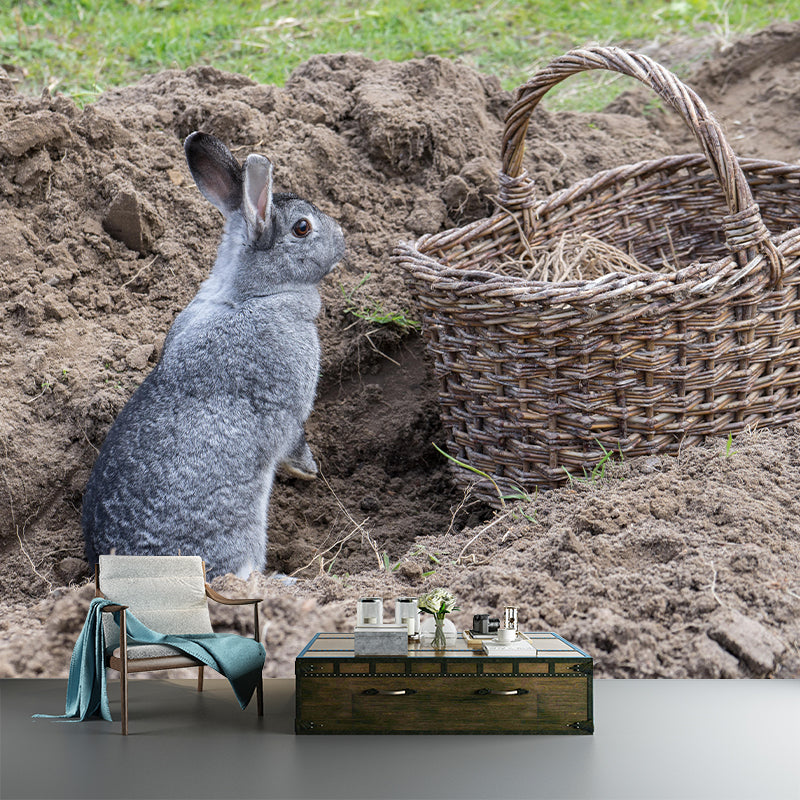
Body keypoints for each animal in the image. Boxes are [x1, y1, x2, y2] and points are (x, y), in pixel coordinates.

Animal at [82, 131, 345, 579]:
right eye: (302, 227)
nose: (343, 237)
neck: (254, 294)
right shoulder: (291, 408)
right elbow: (296, 441)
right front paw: (310, 472)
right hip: (242, 539)